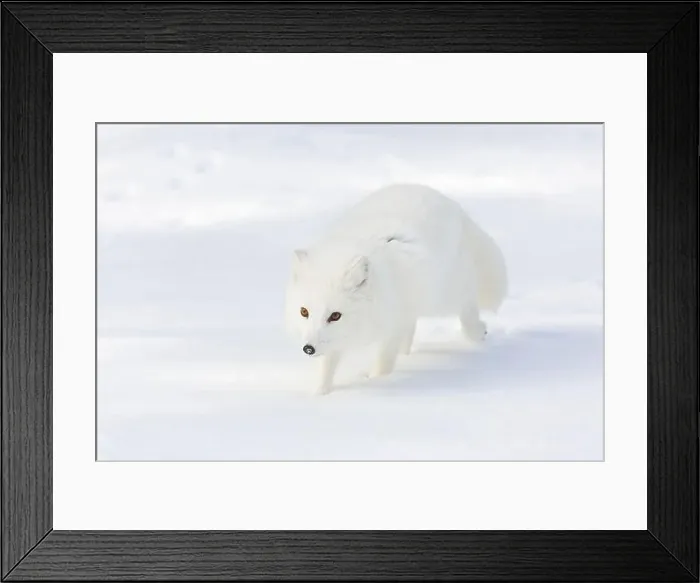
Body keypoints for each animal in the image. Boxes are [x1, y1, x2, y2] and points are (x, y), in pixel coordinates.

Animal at [285, 183, 508, 394]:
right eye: (304, 312)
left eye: (335, 316)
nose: (308, 349)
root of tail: (452, 205)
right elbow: (326, 366)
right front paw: (320, 393)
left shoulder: (392, 327)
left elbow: (384, 362)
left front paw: (377, 381)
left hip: (447, 292)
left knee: (467, 309)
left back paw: (478, 332)